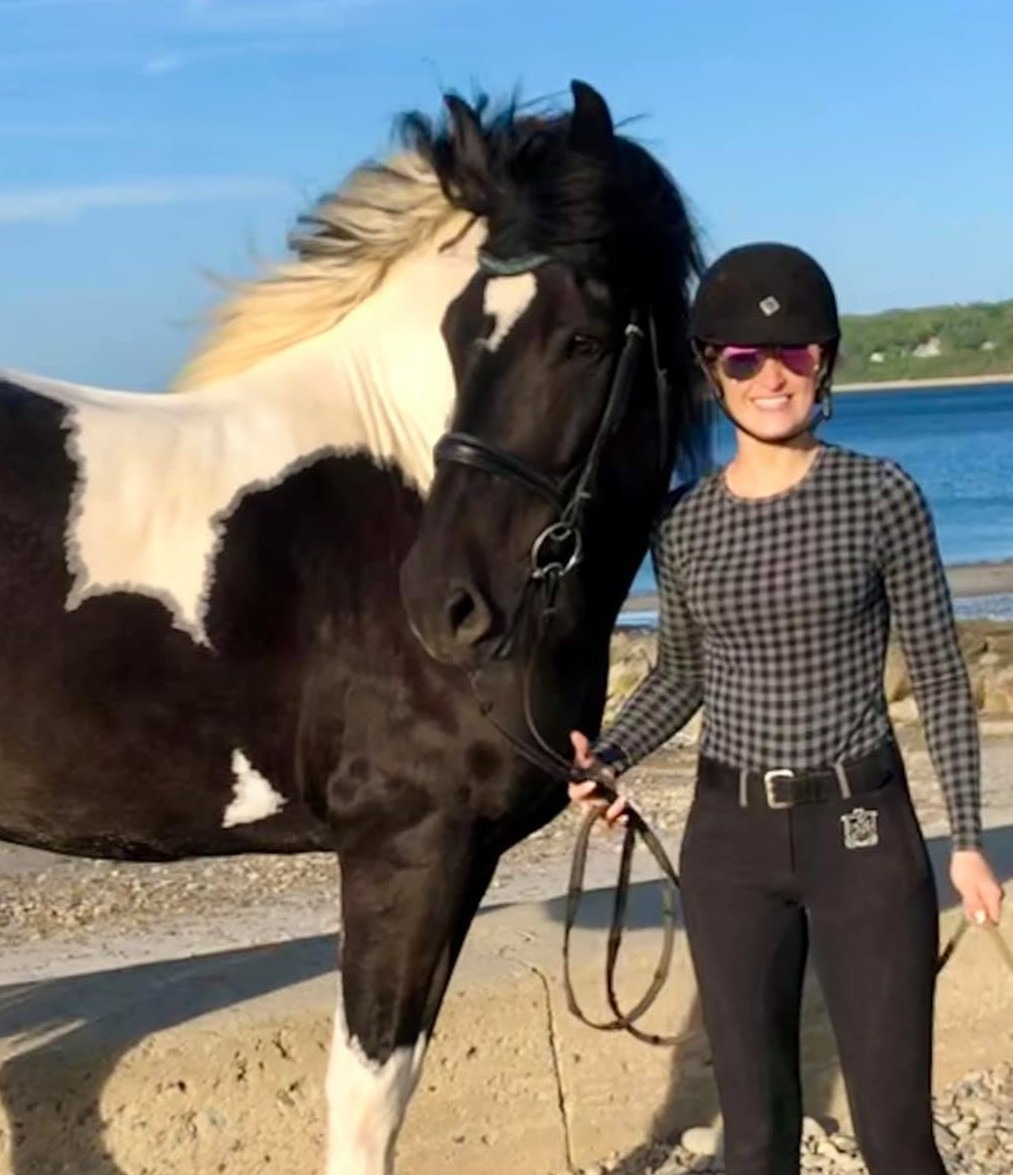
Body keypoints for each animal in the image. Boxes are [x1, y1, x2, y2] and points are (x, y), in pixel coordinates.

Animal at [0, 80, 710, 1174]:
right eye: (460, 334)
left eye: (584, 338)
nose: (445, 604)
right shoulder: (406, 845)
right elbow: (367, 1095)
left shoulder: (460, 853)